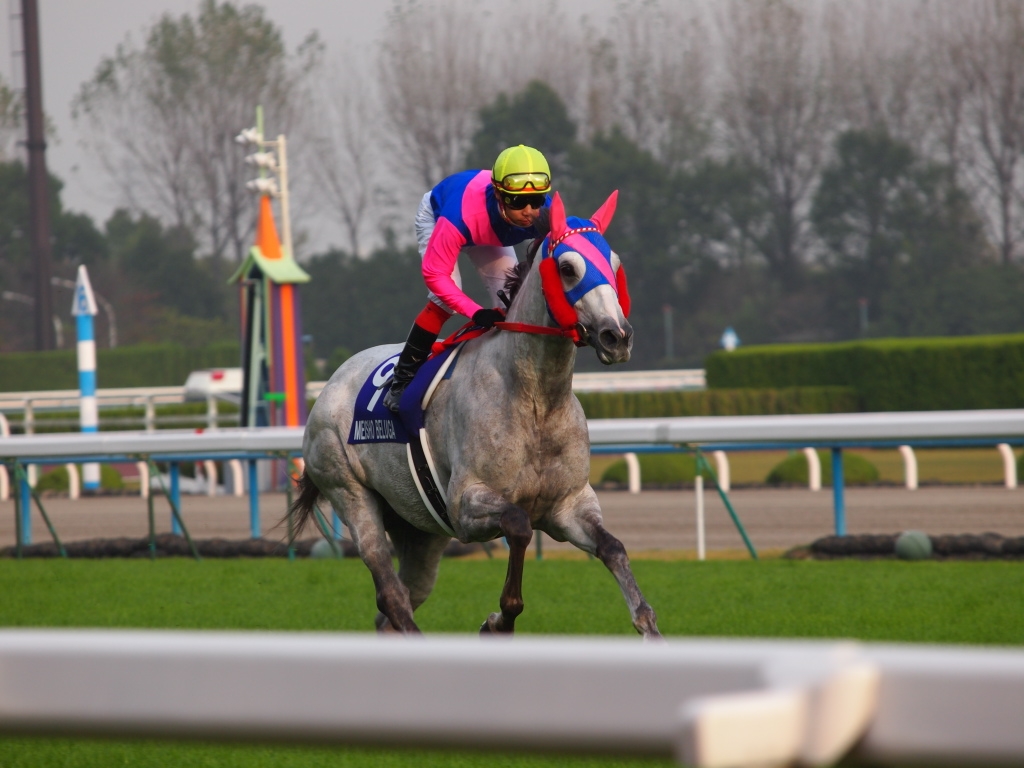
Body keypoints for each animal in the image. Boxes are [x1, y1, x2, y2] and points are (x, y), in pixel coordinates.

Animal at [291, 191, 661, 639]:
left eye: (615, 264)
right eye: (568, 268)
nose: (617, 336)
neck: (536, 399)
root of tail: (330, 385)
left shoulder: (568, 506)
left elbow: (613, 548)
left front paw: (648, 625)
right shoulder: (467, 506)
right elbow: (518, 525)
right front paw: (499, 619)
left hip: (420, 531)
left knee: (396, 605)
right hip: (350, 492)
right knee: (390, 594)